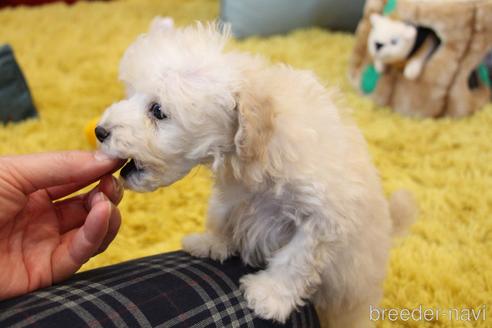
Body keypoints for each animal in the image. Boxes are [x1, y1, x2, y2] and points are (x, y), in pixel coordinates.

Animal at [95, 18, 416, 328]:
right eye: (130, 94)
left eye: (158, 111)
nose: (99, 131)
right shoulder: (234, 195)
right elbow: (221, 216)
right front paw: (210, 243)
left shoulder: (324, 217)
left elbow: (296, 258)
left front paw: (268, 296)